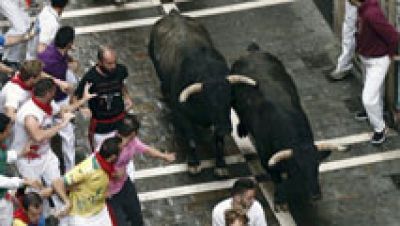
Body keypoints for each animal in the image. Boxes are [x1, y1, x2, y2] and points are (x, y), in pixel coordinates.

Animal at [149, 10, 256, 176]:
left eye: (230, 101)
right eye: (209, 103)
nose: (226, 128)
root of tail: (173, 14)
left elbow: (218, 141)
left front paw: (221, 165)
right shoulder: (183, 115)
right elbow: (191, 140)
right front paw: (193, 163)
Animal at [230, 44, 332, 210]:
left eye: (317, 166)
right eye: (299, 169)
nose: (316, 196)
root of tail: (253, 51)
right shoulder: (266, 158)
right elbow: (277, 179)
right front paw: (280, 200)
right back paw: (242, 129)